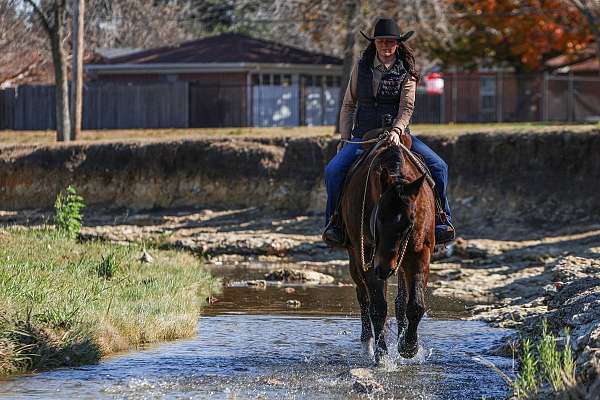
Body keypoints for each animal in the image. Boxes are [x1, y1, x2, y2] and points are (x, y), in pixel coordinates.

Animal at [340, 131, 434, 362]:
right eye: (378, 218)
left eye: (409, 222)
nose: (384, 268)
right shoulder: (367, 254)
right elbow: (378, 307)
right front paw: (382, 355)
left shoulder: (420, 252)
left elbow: (415, 305)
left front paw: (408, 346)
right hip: (358, 259)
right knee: (364, 297)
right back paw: (367, 344)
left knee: (400, 301)